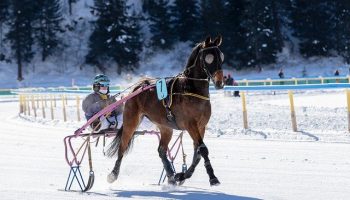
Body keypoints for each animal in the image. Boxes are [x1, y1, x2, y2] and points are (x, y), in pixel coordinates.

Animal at [106, 34, 224, 186]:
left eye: (221, 56)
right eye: (209, 57)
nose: (220, 82)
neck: (191, 89)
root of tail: (139, 86)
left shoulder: (201, 126)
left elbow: (197, 153)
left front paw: (181, 175)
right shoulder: (191, 125)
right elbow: (203, 150)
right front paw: (213, 177)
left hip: (165, 127)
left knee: (161, 150)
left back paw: (171, 176)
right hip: (131, 121)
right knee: (122, 146)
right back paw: (113, 174)